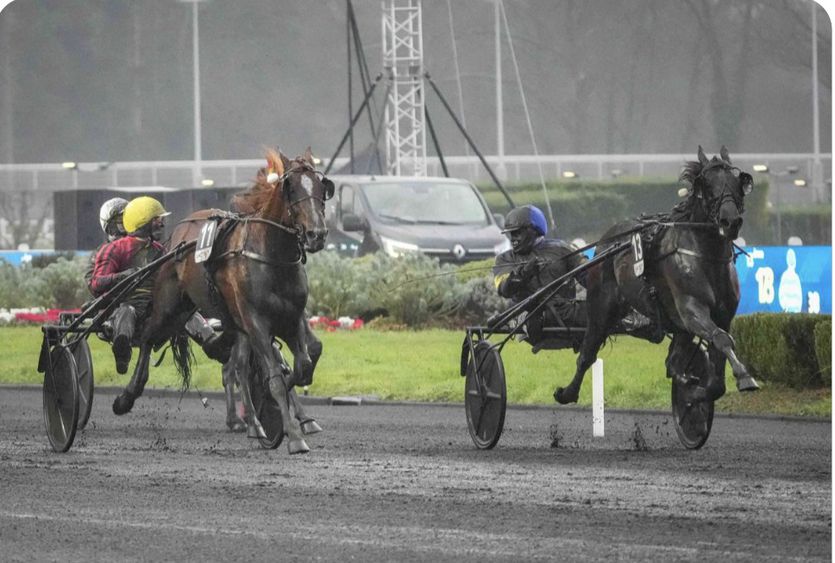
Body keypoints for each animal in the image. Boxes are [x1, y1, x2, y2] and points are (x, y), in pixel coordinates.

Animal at [112, 147, 333, 455]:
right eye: (290, 188)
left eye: (323, 187)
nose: (316, 235)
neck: (271, 257)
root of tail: (176, 236)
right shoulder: (256, 322)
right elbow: (276, 378)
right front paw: (292, 434)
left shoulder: (291, 318)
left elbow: (302, 365)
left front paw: (282, 414)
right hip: (171, 306)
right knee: (147, 338)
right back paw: (127, 396)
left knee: (236, 365)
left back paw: (253, 423)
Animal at [554, 146, 760, 407]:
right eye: (706, 183)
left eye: (738, 181)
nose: (730, 220)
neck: (706, 256)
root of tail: (608, 238)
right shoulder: (691, 309)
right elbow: (721, 339)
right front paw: (744, 377)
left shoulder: (722, 315)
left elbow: (716, 368)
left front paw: (695, 393)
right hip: (601, 306)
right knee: (587, 352)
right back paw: (568, 393)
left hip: (675, 325)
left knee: (673, 363)